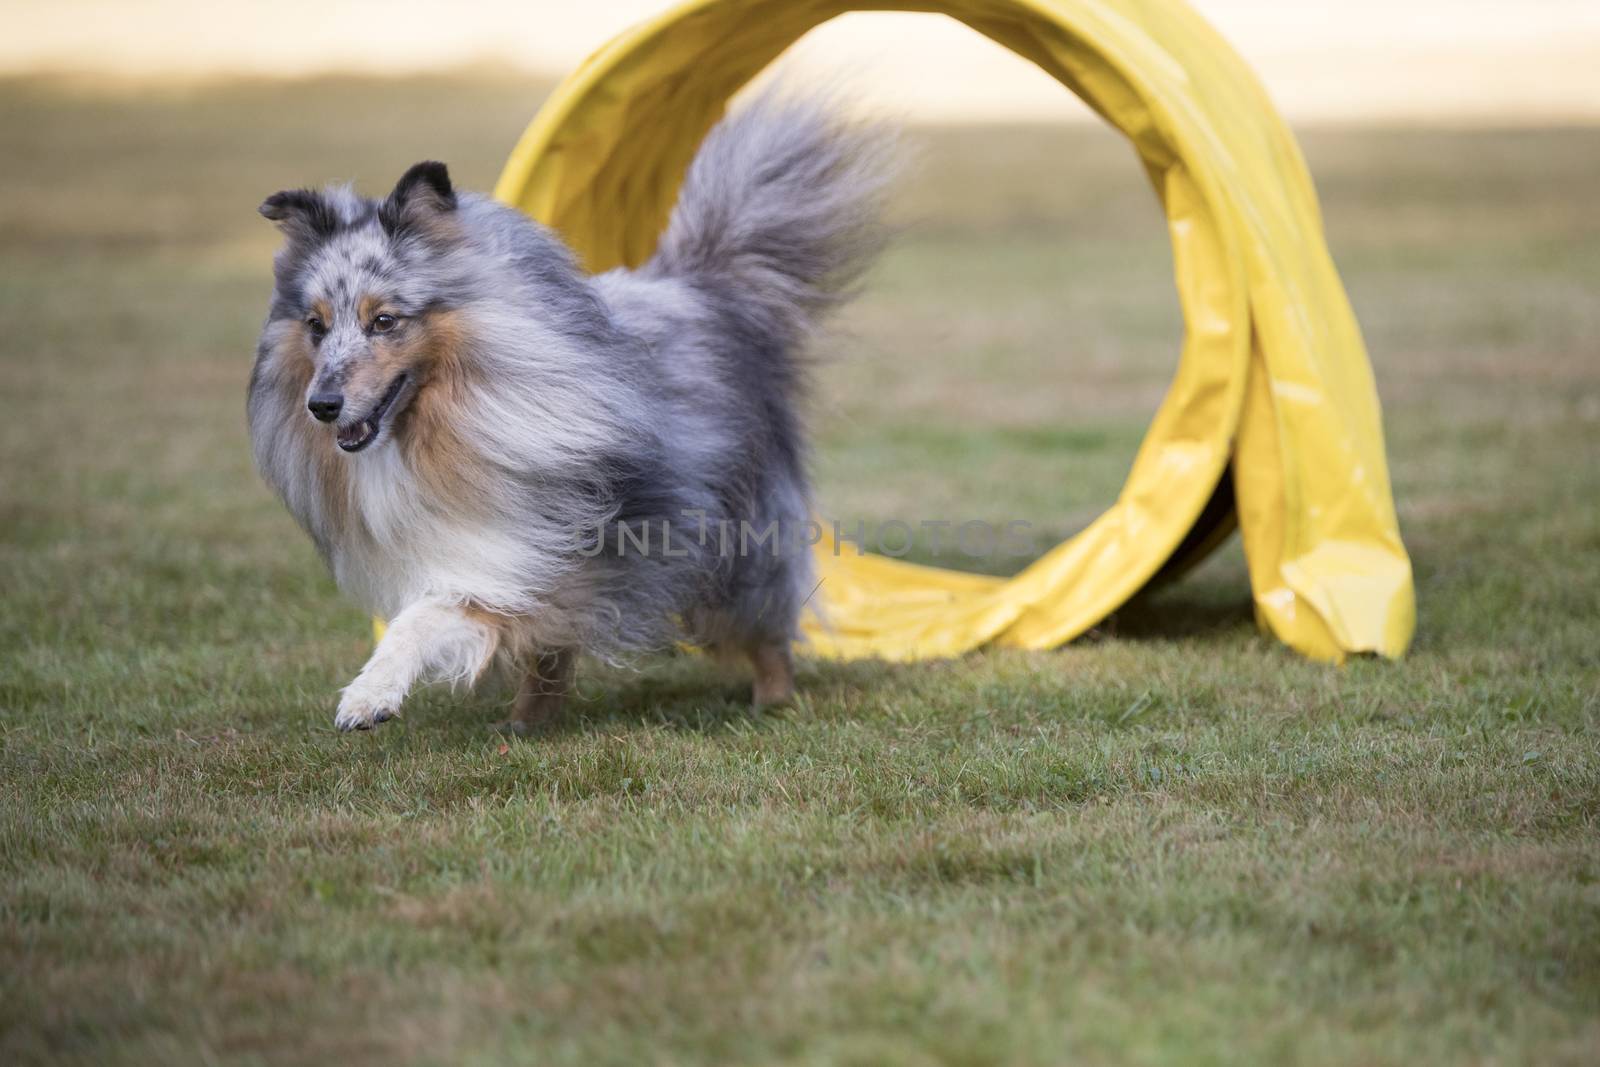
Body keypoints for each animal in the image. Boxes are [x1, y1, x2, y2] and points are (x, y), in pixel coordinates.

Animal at [252, 91, 902, 735]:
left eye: (384, 320)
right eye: (315, 325)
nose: (321, 406)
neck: (444, 427)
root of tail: (701, 287)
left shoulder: (523, 559)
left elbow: (429, 613)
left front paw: (368, 697)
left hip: (737, 538)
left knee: (765, 626)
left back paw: (774, 703)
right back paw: (527, 722)